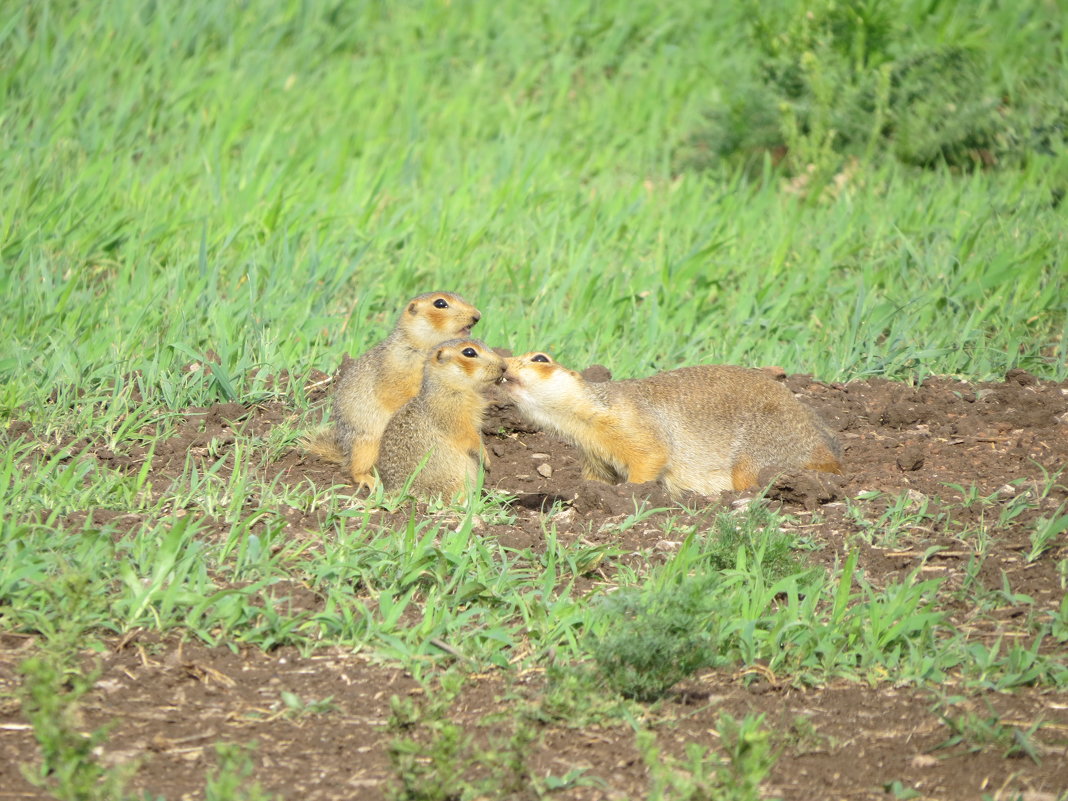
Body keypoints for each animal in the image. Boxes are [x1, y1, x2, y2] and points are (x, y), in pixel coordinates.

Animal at [305, 290, 480, 489]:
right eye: (440, 303)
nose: (477, 316)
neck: (423, 345)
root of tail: (345, 452)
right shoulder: (398, 363)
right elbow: (395, 393)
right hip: (366, 445)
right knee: (352, 469)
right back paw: (369, 480)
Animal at [499, 350, 841, 495]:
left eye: (540, 358)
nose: (501, 364)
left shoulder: (630, 420)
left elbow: (651, 454)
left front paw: (635, 491)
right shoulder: (593, 453)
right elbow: (598, 478)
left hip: (762, 449)